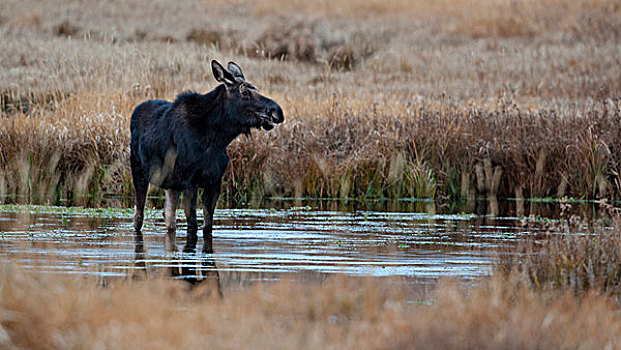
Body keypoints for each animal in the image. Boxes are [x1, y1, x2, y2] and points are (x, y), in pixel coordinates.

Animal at [133, 59, 286, 252]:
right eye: (244, 92)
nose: (277, 111)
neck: (217, 138)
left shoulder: (214, 182)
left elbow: (207, 227)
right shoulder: (190, 182)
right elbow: (193, 226)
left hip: (171, 186)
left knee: (168, 216)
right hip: (138, 172)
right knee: (139, 216)